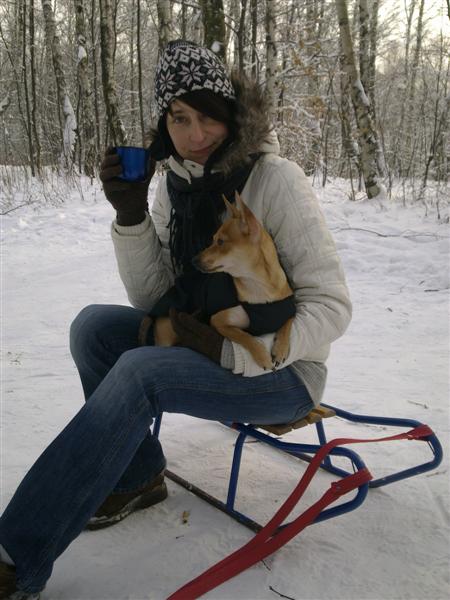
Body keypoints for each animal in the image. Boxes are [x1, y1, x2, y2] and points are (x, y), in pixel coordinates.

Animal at [153, 192, 295, 370]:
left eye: (220, 242)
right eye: (212, 239)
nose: (194, 260)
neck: (258, 286)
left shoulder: (286, 309)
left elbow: (288, 322)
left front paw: (280, 349)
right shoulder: (219, 321)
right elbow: (244, 336)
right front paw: (262, 356)